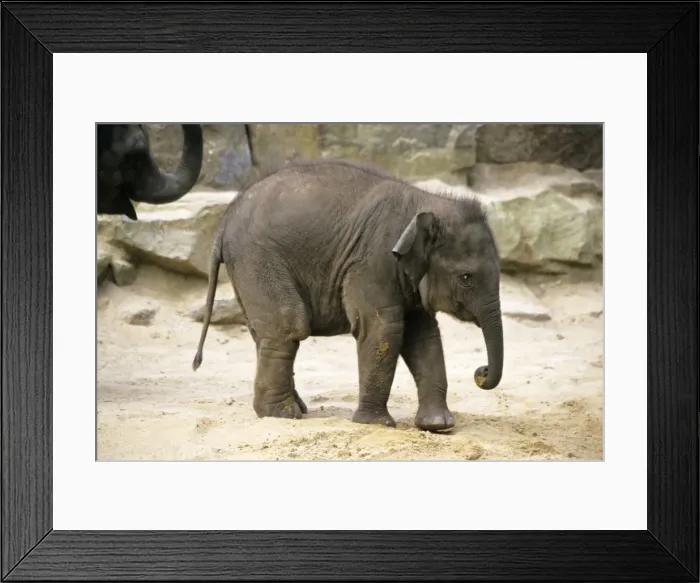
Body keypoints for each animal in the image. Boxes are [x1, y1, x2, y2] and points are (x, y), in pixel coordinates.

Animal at [192, 159, 503, 431]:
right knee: (288, 326)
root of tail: (225, 219)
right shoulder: (372, 262)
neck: (425, 202)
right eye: (466, 278)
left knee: (265, 332)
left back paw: (293, 409)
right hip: (257, 259)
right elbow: (382, 329)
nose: (481, 372)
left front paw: (438, 426)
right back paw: (282, 415)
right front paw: (376, 424)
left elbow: (423, 336)